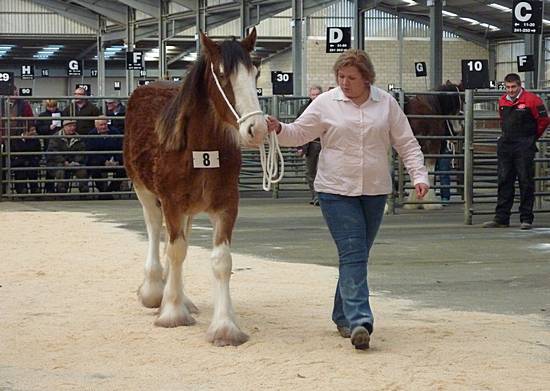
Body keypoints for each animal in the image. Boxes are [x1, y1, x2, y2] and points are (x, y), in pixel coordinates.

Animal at [125, 29, 272, 348]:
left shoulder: (227, 205)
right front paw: (171, 313)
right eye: (223, 74)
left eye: (255, 73)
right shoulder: (170, 202)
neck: (200, 150)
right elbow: (176, 251)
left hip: (188, 210)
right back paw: (155, 291)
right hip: (145, 192)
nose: (257, 129)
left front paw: (225, 326)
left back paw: (182, 297)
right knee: (155, 230)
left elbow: (220, 261)